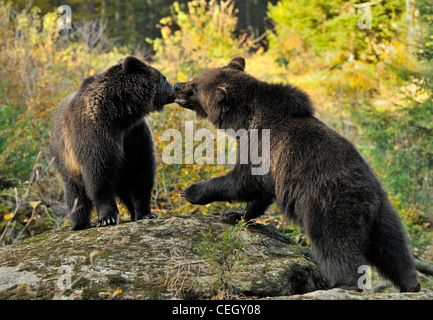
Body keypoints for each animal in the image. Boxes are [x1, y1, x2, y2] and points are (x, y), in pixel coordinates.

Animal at [49, 55, 174, 230]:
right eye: (164, 77)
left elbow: (140, 171)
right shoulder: (95, 134)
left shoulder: (134, 134)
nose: (175, 88)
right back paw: (80, 224)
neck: (119, 114)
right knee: (76, 194)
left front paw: (146, 213)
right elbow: (100, 174)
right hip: (66, 161)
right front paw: (107, 218)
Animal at [174, 55, 420, 292]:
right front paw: (236, 214)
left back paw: (344, 283)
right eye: (197, 76)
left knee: (335, 244)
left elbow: (243, 181)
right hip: (386, 214)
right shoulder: (273, 169)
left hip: (328, 204)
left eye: (195, 86)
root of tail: (370, 202)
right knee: (394, 249)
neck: (244, 121)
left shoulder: (261, 147)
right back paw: (411, 283)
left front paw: (192, 191)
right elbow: (259, 194)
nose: (177, 85)